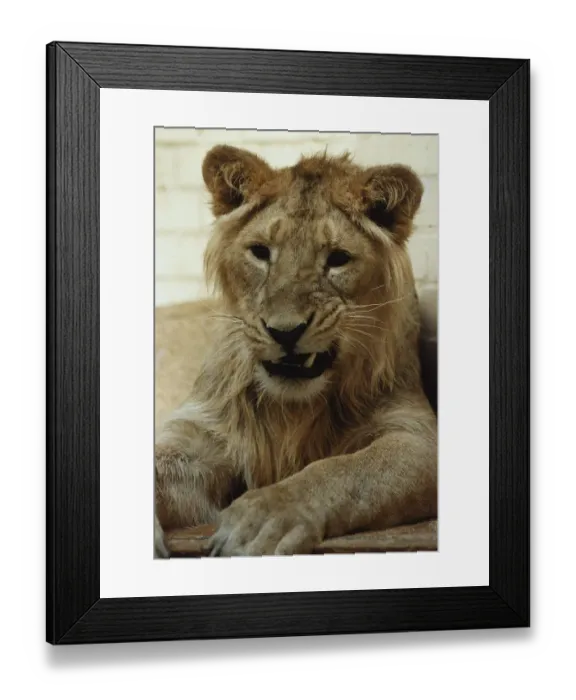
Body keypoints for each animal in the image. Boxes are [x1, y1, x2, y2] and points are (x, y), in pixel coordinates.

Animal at [154, 145, 437, 558]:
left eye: (337, 259)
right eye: (260, 253)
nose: (284, 331)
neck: (292, 411)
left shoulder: (416, 435)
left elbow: (344, 470)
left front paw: (263, 517)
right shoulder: (199, 436)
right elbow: (159, 465)